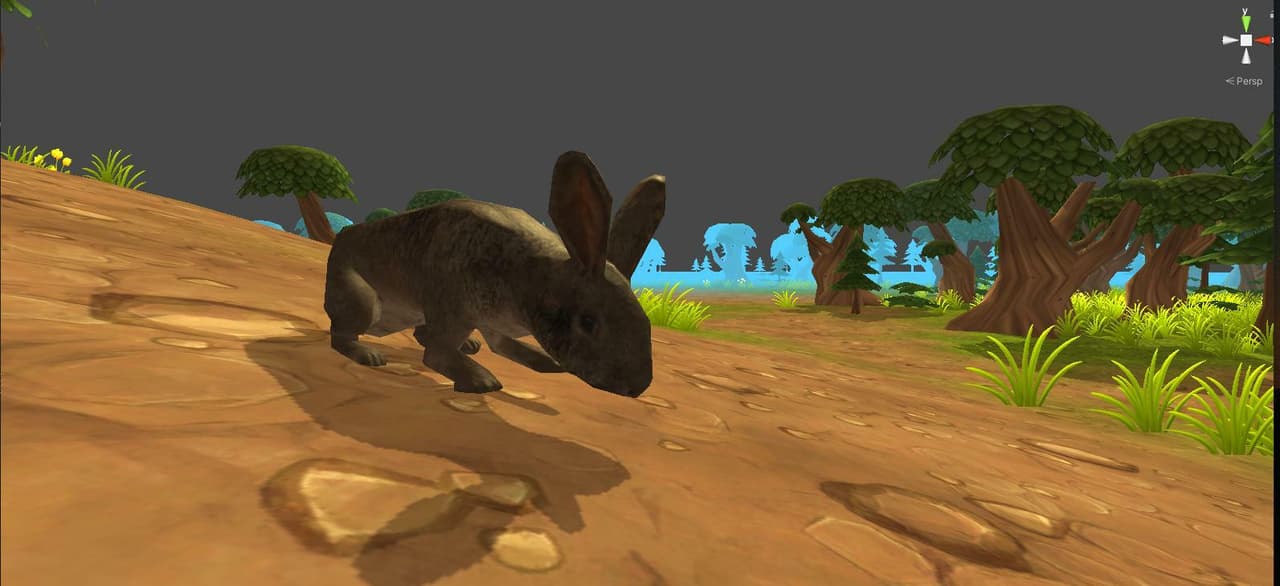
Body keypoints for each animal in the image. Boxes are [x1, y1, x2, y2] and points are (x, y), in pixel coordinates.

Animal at [323, 150, 666, 397]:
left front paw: (547, 364)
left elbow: (505, 348)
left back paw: (468, 346)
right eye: (589, 322)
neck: (533, 276)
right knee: (342, 333)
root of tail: (343, 238)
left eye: (646, 324)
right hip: (362, 300)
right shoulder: (455, 310)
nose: (637, 387)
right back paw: (368, 354)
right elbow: (437, 356)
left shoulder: (496, 325)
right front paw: (482, 381)